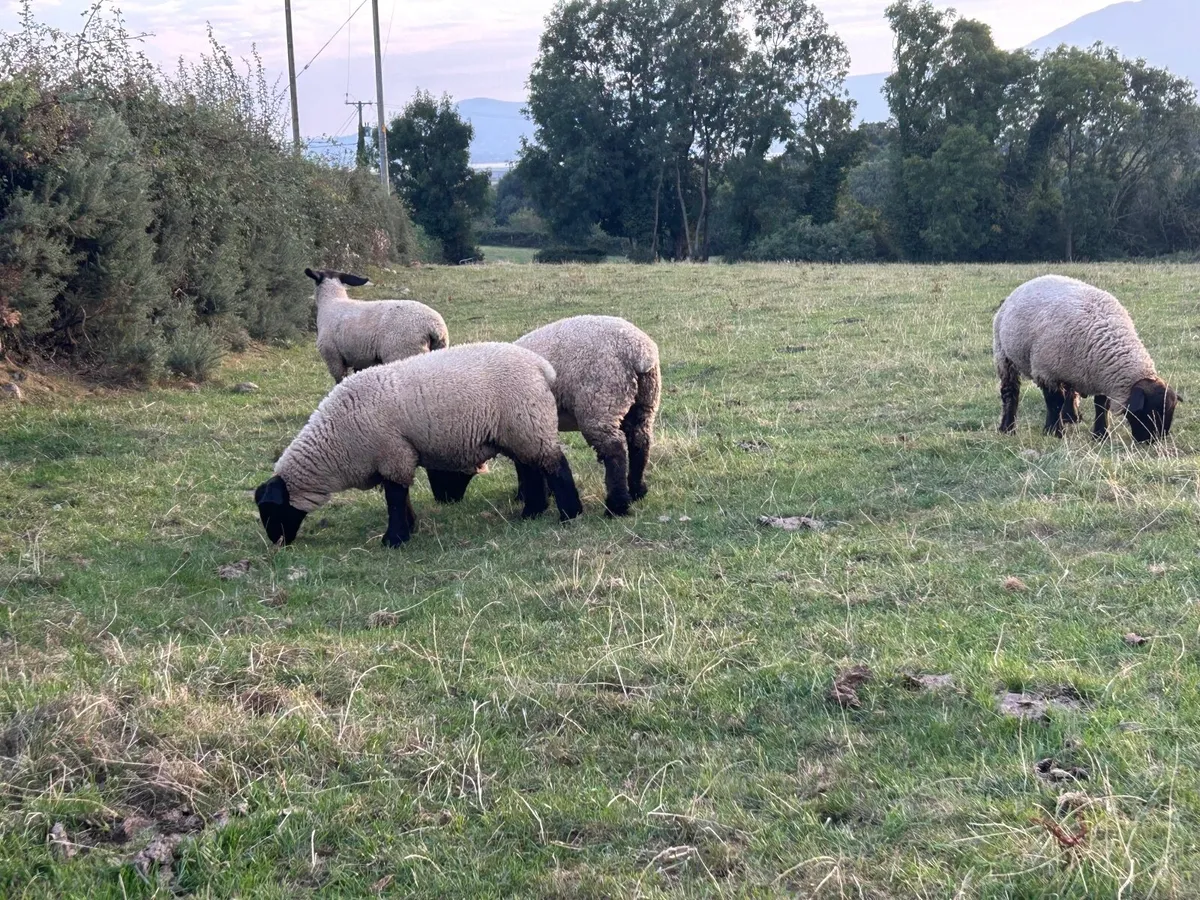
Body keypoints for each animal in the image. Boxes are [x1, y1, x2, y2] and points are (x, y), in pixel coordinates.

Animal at [254, 342, 583, 547]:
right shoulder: (396, 456)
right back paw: (532, 512)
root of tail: (540, 366)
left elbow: (395, 497)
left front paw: (395, 539)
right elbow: (400, 495)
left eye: (271, 509)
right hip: (518, 430)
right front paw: (407, 528)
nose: (277, 543)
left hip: (527, 422)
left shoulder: (391, 452)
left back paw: (570, 514)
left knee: (556, 465)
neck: (336, 441)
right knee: (530, 468)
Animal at [513, 315, 661, 516]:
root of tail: (639, 352)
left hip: (599, 403)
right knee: (639, 441)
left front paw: (525, 497)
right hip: (644, 402)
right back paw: (638, 491)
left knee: (614, 450)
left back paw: (616, 507)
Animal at [993, 274, 1178, 442]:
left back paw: (1071, 417)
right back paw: (1008, 428)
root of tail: (1031, 281)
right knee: (1010, 393)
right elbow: (1054, 402)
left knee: (1069, 391)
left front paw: (1101, 435)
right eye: (1150, 411)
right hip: (1004, 356)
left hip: (1070, 368)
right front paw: (1054, 432)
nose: (1152, 441)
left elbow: (1102, 405)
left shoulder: (1101, 375)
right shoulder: (1046, 373)